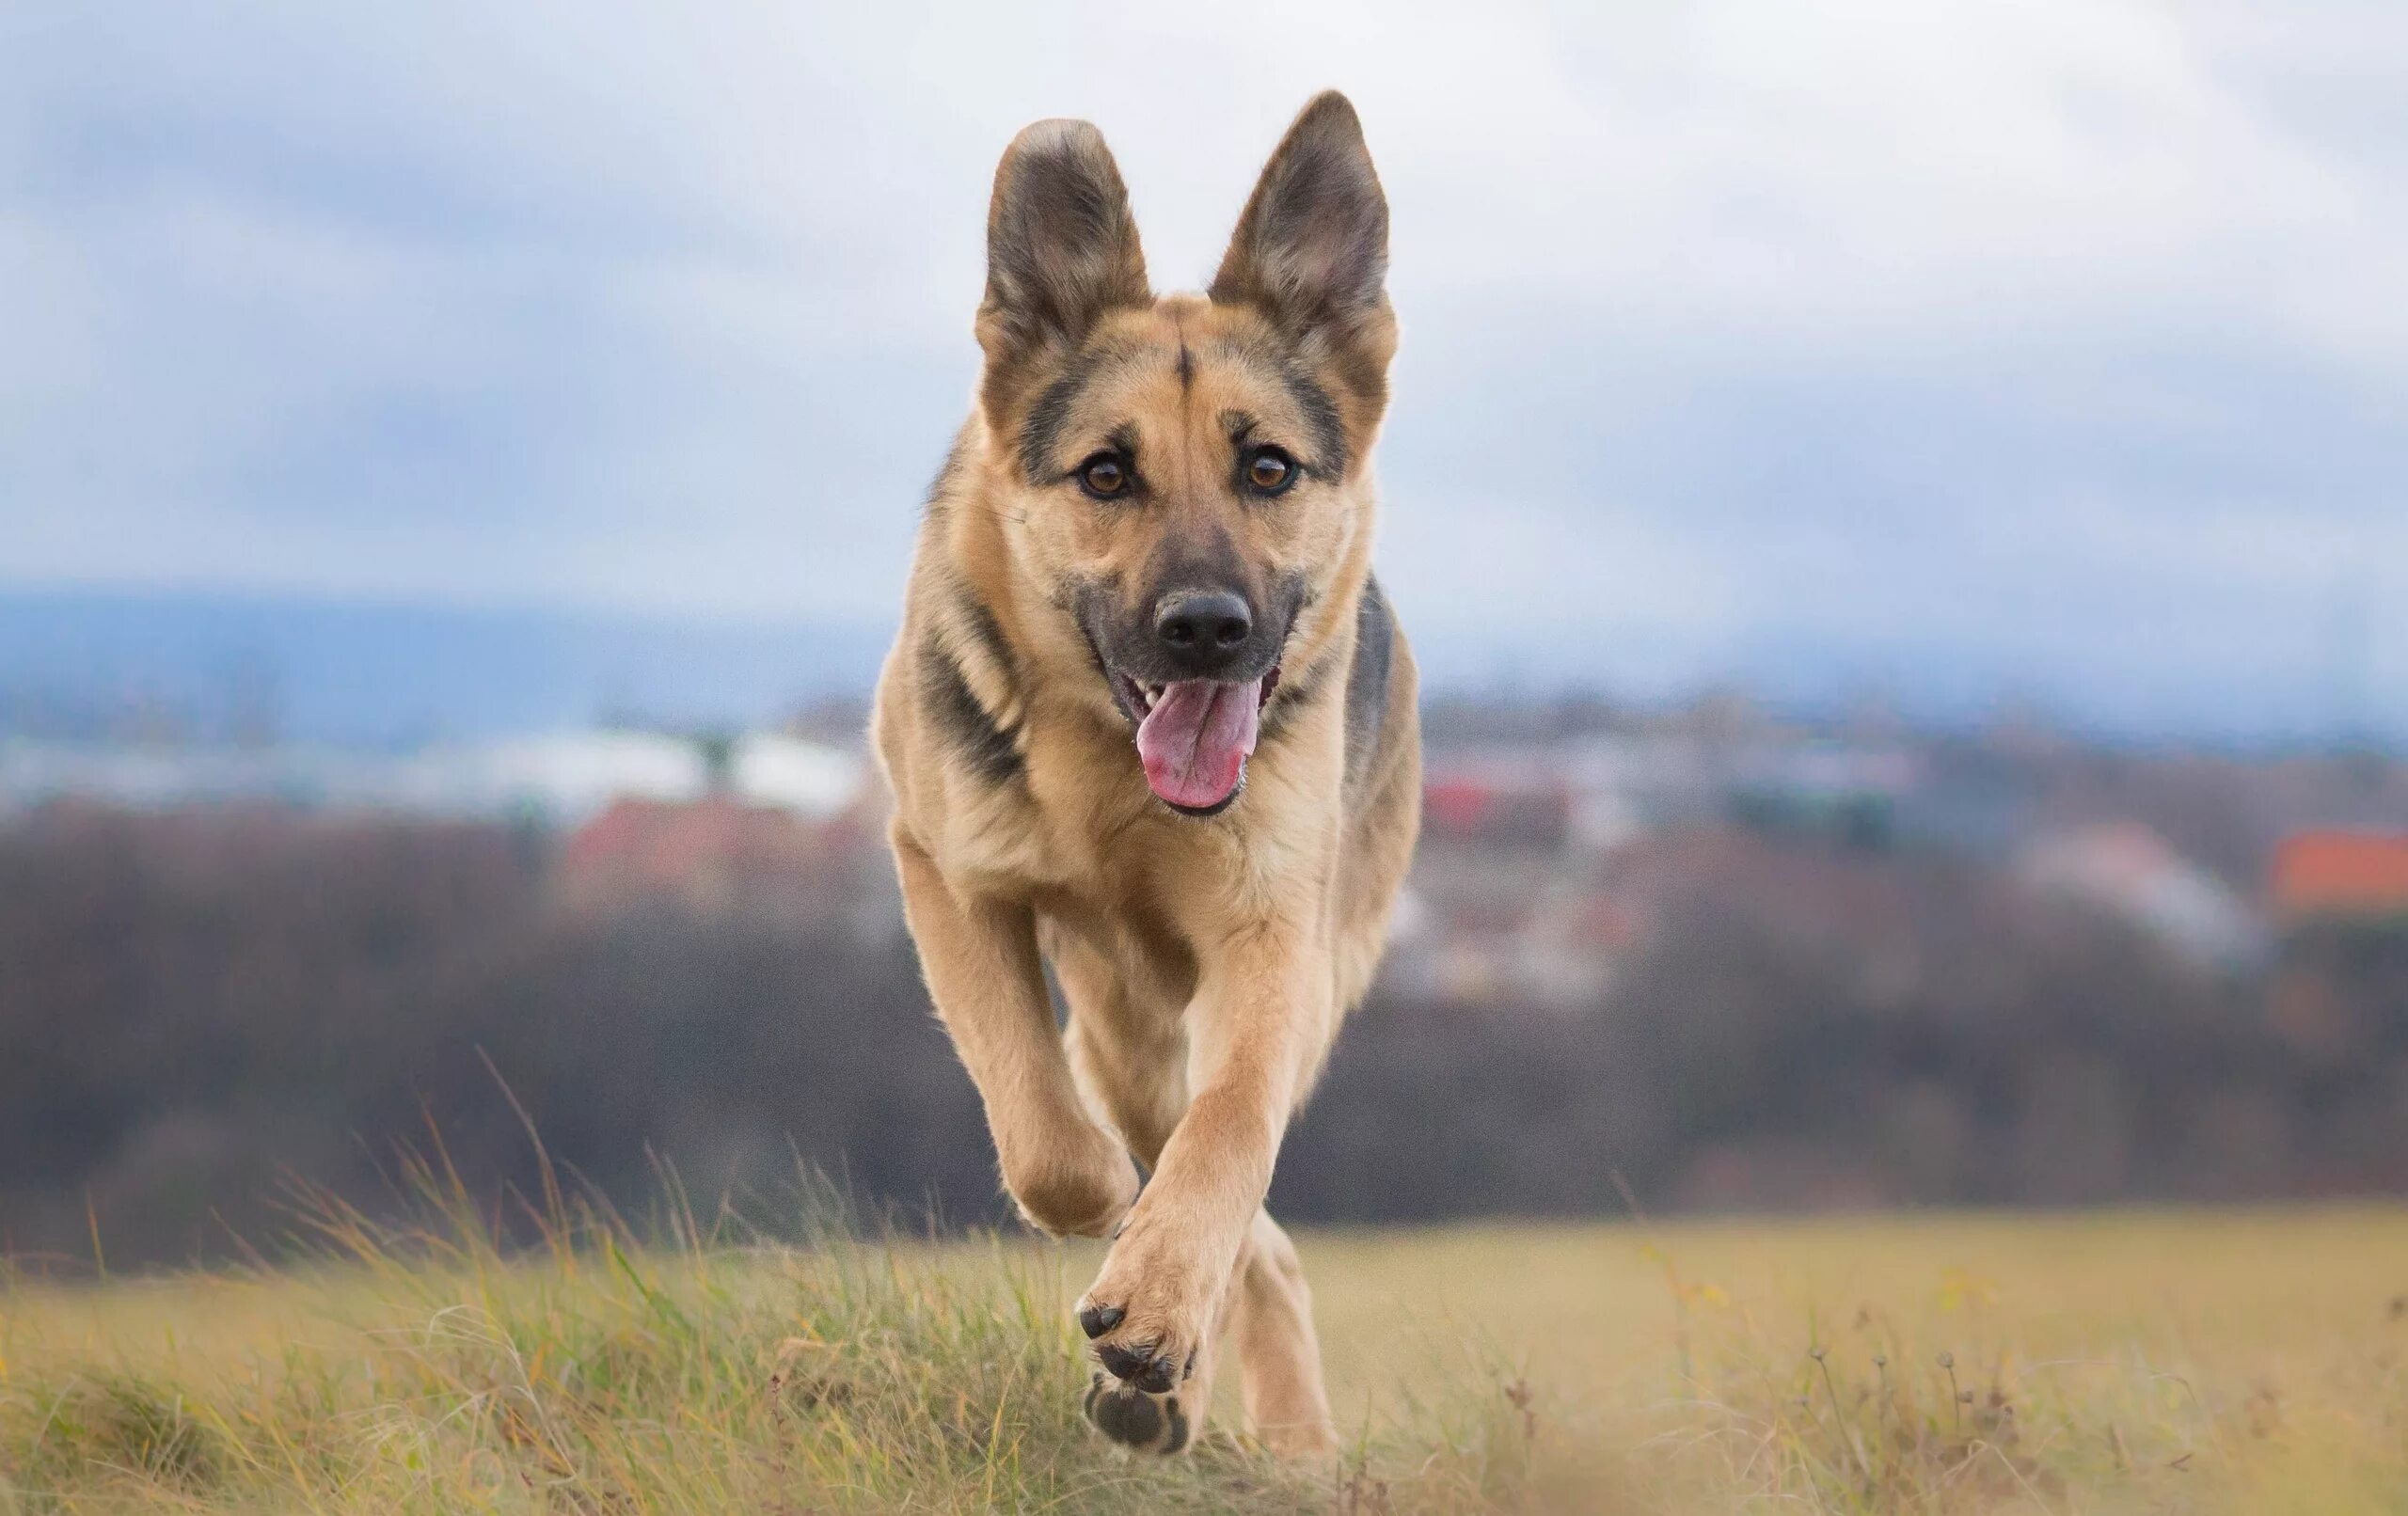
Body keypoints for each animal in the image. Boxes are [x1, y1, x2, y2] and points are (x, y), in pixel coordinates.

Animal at [876, 91, 1416, 1462]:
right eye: (1105, 474)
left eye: (1267, 467)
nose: (1207, 630)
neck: (1114, 788)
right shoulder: (946, 877)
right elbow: (1046, 1132)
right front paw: (1112, 1225)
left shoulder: (1269, 945)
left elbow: (1226, 1139)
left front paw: (1161, 1304)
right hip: (1123, 1030)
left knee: (1245, 1191)